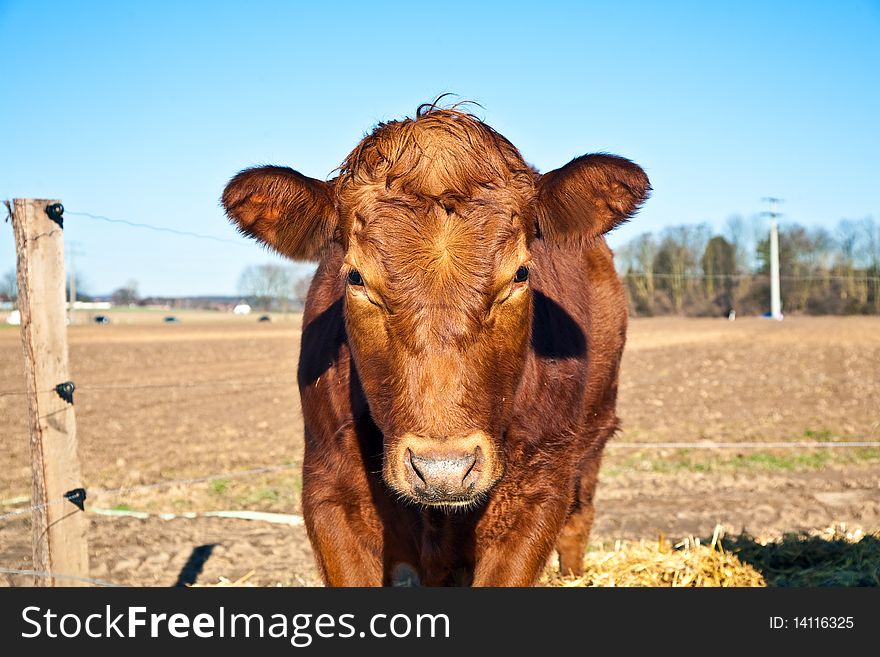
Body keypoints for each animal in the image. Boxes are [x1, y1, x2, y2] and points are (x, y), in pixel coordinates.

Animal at [222, 105, 648, 588]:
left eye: (521, 274)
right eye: (355, 277)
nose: (444, 471)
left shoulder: (538, 493)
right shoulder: (328, 493)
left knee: (579, 521)